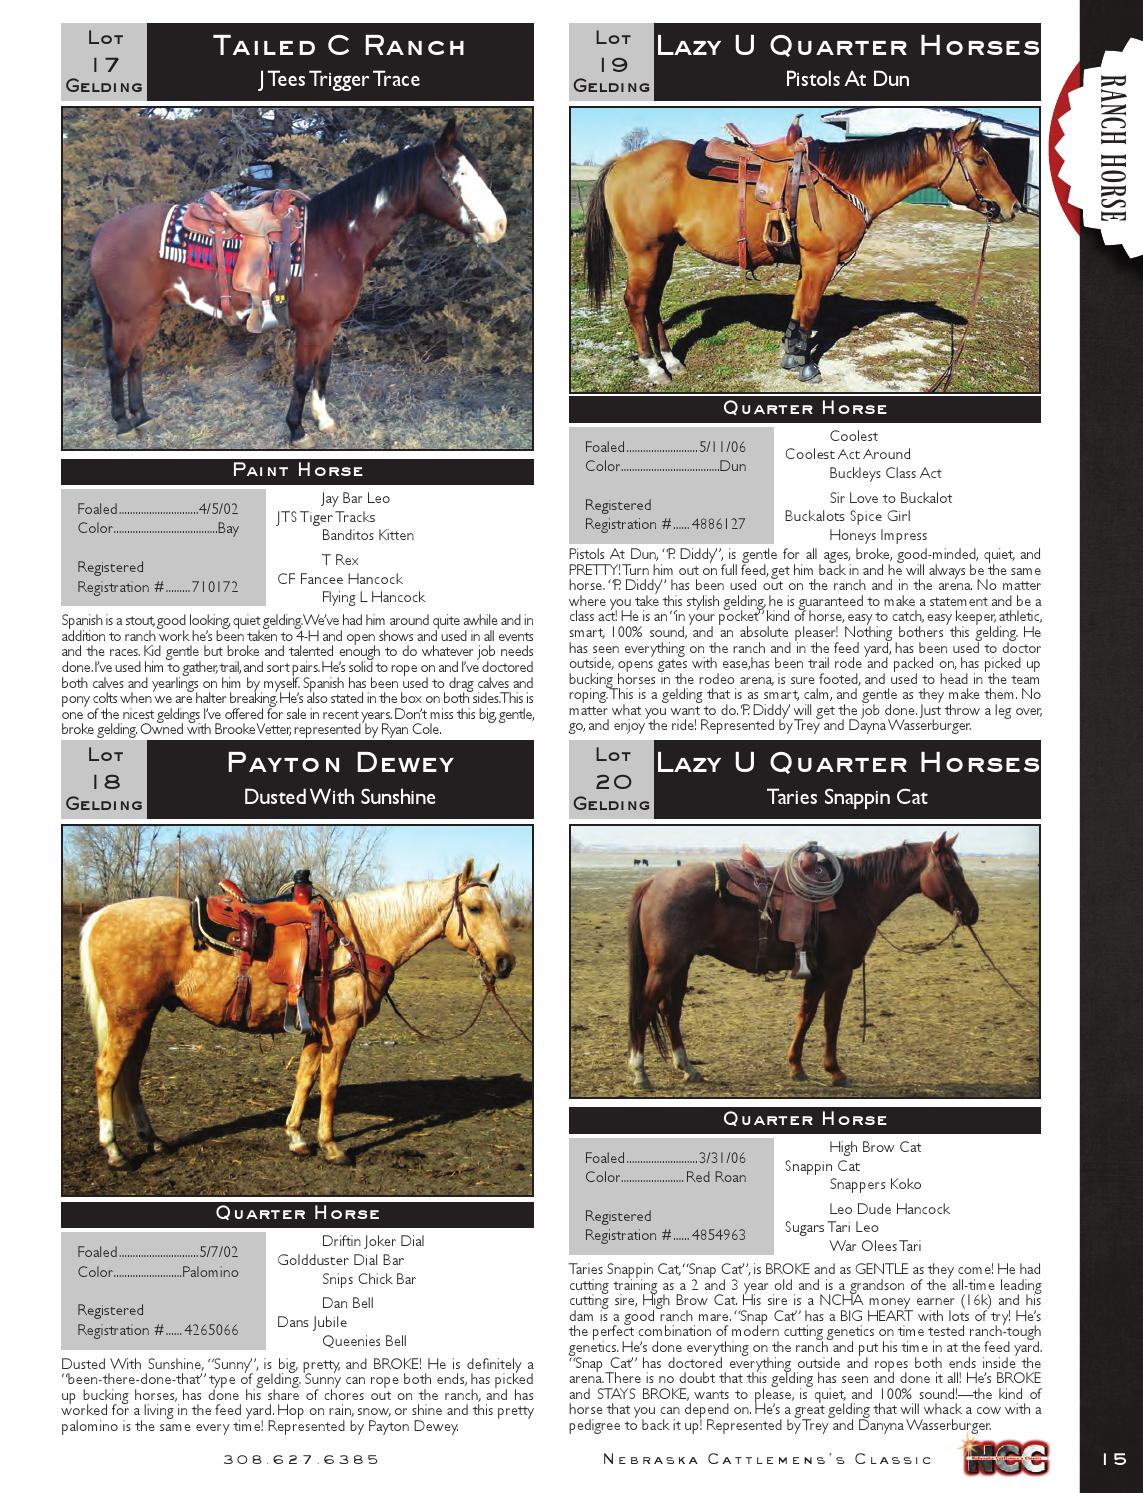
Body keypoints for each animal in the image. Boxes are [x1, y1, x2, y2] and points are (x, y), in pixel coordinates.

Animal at [79, 860, 516, 1168]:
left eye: (498, 907)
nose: (505, 962)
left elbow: (305, 1079)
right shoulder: (342, 1029)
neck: (359, 940)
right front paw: (332, 1146)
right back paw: (115, 1152)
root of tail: (100, 916)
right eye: (474, 908)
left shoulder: (315, 1030)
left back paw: (152, 1139)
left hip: (143, 1017)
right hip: (128, 1017)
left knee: (130, 1075)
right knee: (108, 1072)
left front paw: (296, 1138)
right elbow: (331, 1085)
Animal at [89, 120, 507, 445]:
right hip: (127, 316)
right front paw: (296, 430)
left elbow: (324, 370)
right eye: (459, 174)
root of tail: (103, 233)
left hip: (149, 311)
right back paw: (123, 423)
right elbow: (304, 377)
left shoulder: (330, 326)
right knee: (118, 362)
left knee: (136, 361)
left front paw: (323, 421)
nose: (500, 225)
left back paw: (143, 416)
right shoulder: (311, 327)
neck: (336, 239)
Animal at [583, 120, 1021, 385]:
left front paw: (791, 353)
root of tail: (621, 161)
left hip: (665, 251)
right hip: (644, 253)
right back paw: (653, 367)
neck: (843, 182)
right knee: (636, 302)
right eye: (981, 159)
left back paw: (671, 359)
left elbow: (798, 312)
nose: (1012, 206)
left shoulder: (809, 264)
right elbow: (809, 311)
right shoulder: (820, 261)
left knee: (653, 303)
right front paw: (805, 365)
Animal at [626, 835, 978, 1090]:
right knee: (645, 1010)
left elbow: (805, 1016)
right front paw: (835, 1071)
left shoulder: (818, 973)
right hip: (665, 967)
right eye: (950, 869)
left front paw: (796, 1066)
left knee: (670, 1011)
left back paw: (687, 1068)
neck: (855, 895)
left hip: (681, 965)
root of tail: (654, 882)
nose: (973, 911)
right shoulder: (839, 972)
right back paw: (640, 1073)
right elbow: (830, 1021)